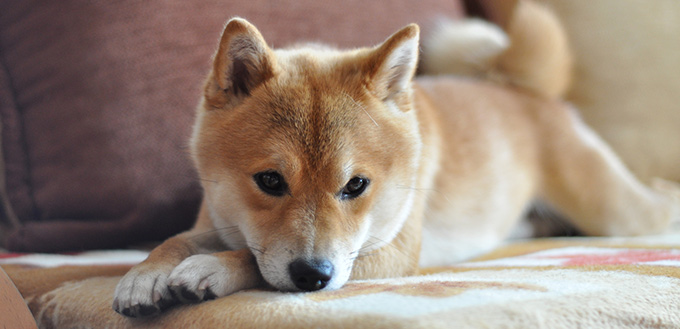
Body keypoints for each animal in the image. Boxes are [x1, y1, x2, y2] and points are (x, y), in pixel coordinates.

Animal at [113, 3, 680, 318]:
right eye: (270, 180)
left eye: (355, 186)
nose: (313, 277)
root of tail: (525, 91)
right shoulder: (215, 222)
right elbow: (175, 241)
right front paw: (146, 275)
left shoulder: (390, 253)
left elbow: (250, 259)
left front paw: (214, 268)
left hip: (614, 211)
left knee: (657, 202)